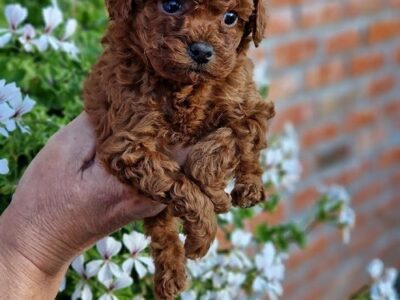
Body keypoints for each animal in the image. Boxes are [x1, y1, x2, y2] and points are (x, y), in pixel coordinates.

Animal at [84, 0, 276, 298]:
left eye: (230, 18)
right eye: (171, 5)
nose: (202, 51)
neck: (186, 89)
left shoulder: (249, 105)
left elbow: (230, 139)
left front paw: (214, 189)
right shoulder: (127, 145)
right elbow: (180, 183)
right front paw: (205, 227)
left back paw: (250, 188)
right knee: (161, 229)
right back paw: (171, 273)